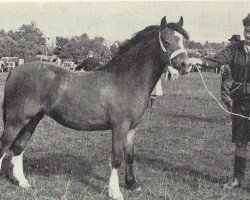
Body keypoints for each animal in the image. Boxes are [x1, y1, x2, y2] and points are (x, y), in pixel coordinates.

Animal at [0, 17, 189, 200]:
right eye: (166, 41)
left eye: (184, 41)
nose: (185, 65)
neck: (127, 80)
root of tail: (15, 71)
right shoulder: (119, 127)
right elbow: (117, 158)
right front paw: (115, 192)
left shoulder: (132, 129)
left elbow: (130, 156)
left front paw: (132, 184)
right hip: (16, 121)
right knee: (5, 144)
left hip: (32, 120)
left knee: (18, 147)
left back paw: (23, 182)